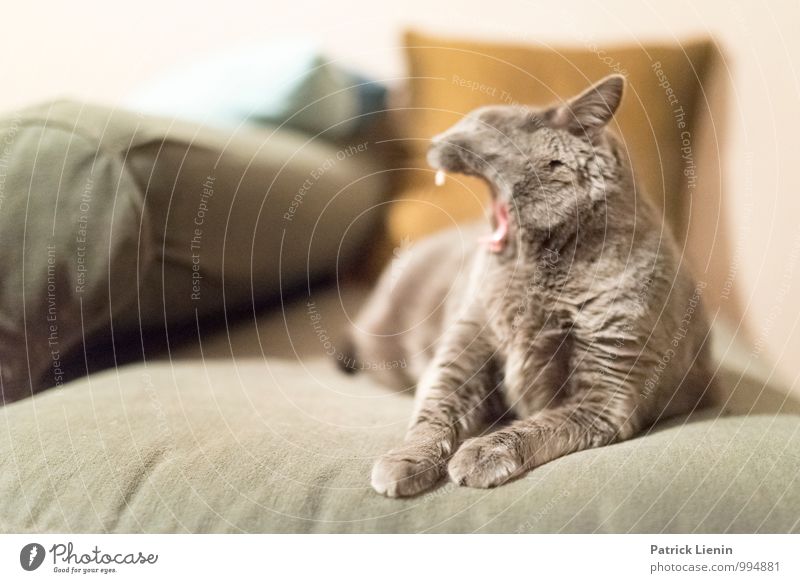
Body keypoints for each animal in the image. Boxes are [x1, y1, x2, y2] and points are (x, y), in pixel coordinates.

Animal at [340, 74, 716, 498]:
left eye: (478, 123)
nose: (433, 140)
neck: (533, 272)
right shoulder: (464, 348)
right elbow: (434, 410)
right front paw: (403, 461)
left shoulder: (607, 391)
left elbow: (536, 427)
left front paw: (480, 454)